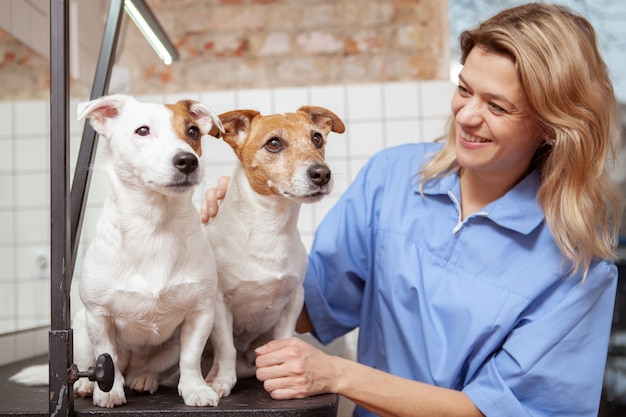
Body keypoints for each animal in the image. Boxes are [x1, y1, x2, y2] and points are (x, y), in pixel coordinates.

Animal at [11, 93, 224, 406]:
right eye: (143, 131)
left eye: (193, 132)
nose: (188, 160)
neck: (155, 227)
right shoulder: (98, 316)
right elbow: (106, 355)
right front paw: (108, 391)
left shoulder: (201, 313)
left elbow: (191, 357)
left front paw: (195, 388)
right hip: (80, 328)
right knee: (97, 364)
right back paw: (87, 385)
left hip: (168, 348)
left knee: (149, 369)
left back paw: (144, 379)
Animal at [202, 105, 344, 396]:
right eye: (274, 143)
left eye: (316, 138)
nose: (322, 173)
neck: (271, 230)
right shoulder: (220, 305)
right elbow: (226, 348)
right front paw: (223, 381)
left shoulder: (294, 299)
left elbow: (283, 338)